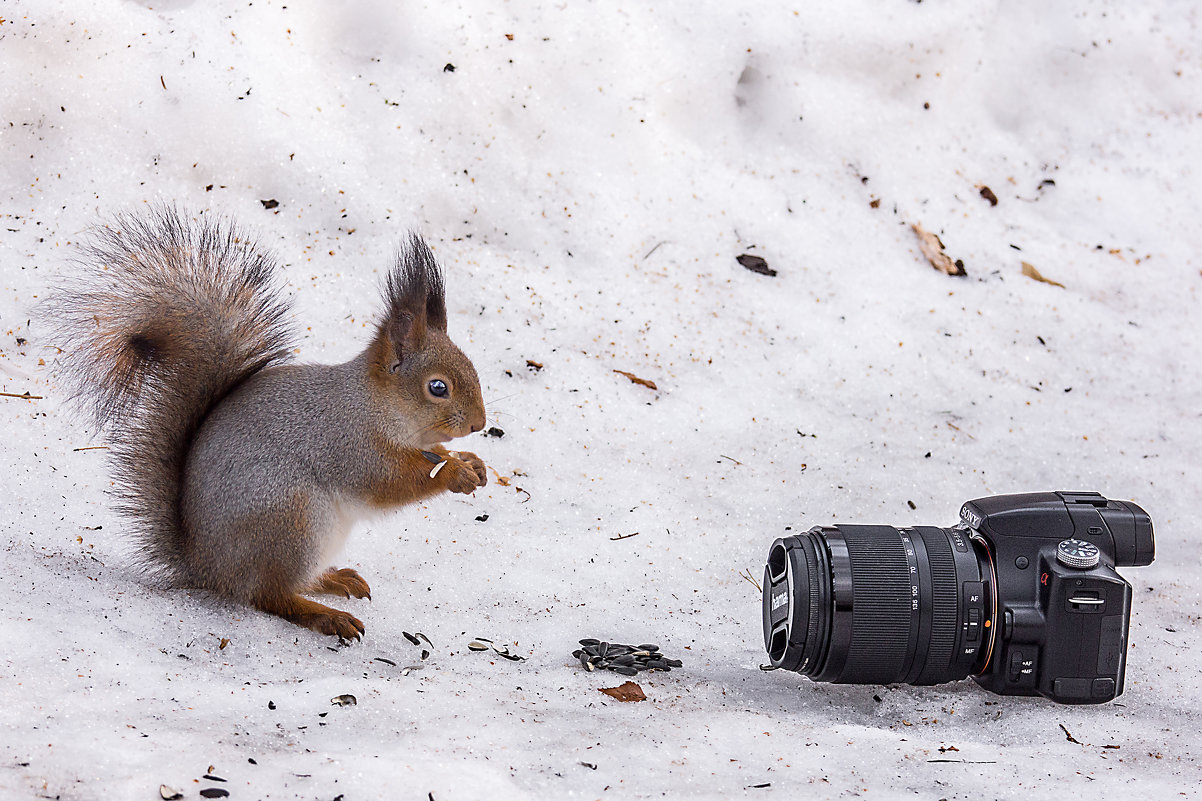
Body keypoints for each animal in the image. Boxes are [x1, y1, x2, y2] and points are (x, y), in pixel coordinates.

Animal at [46, 206, 488, 644]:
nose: (479, 424)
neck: (378, 407)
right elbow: (389, 481)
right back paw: (325, 616)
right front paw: (455, 473)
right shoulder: (349, 443)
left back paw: (334, 580)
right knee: (269, 595)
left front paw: (471, 461)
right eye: (438, 387)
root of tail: (206, 568)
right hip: (292, 519)